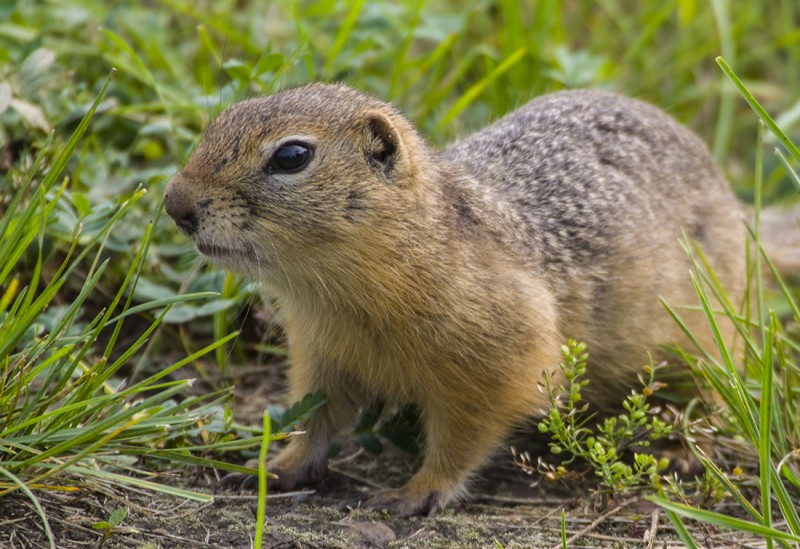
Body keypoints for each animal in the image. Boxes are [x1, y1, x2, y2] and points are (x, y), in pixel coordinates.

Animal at [166, 83, 748, 516]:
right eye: (221, 120)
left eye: (292, 156)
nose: (175, 204)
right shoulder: (320, 350)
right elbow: (317, 415)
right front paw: (275, 467)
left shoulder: (498, 363)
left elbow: (460, 439)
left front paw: (413, 493)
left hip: (705, 341)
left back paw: (680, 450)